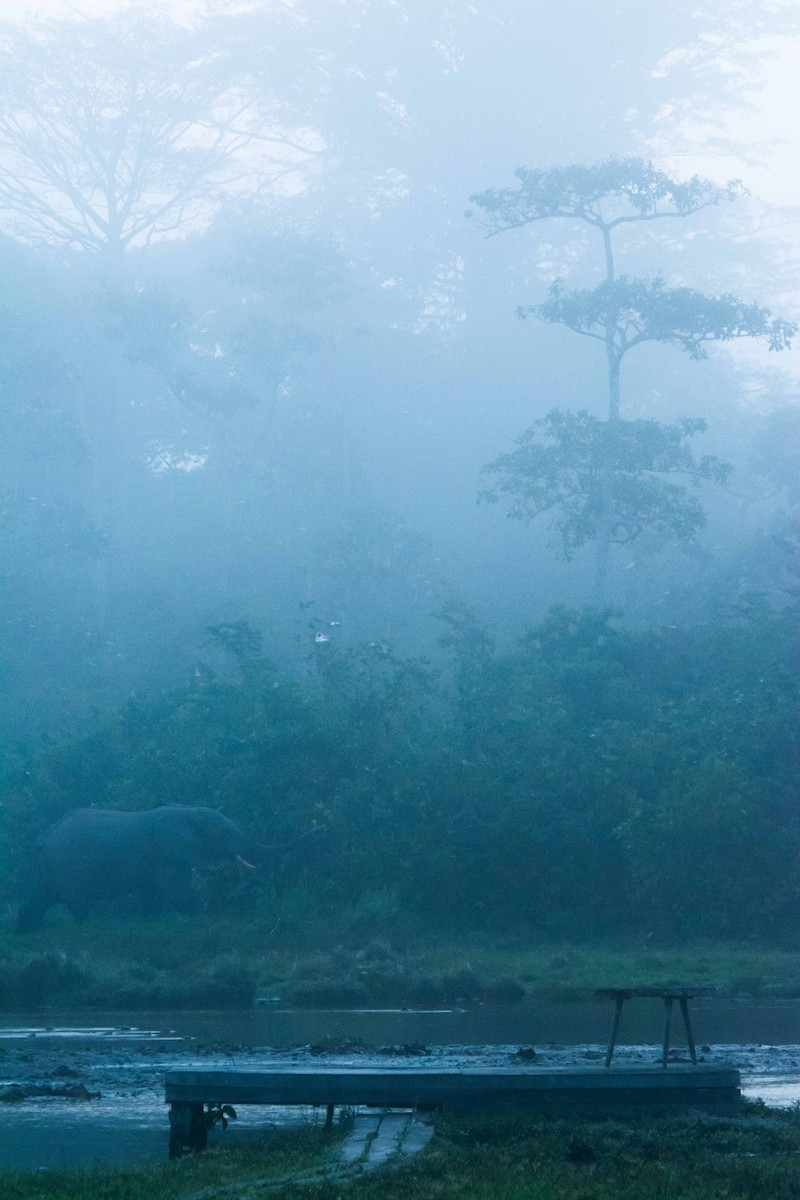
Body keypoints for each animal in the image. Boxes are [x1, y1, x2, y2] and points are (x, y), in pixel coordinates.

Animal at [17, 805, 271, 931]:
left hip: (50, 868)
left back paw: (28, 929)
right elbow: (175, 890)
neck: (187, 812)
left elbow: (153, 894)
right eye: (226, 833)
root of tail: (42, 840)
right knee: (77, 903)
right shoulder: (166, 854)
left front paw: (151, 923)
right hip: (68, 867)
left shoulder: (157, 859)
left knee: (39, 899)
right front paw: (203, 914)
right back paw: (88, 927)